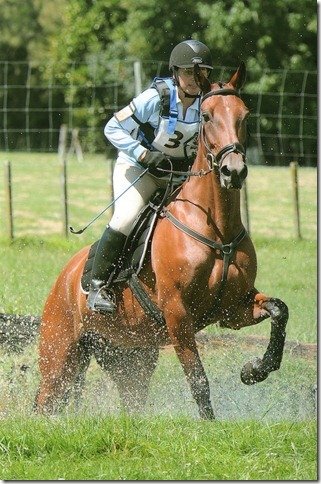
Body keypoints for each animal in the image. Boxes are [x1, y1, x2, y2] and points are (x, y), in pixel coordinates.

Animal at [34, 62, 288, 420]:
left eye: (245, 114)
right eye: (207, 116)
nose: (233, 171)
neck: (216, 229)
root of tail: (65, 277)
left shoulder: (233, 309)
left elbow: (279, 310)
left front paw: (254, 370)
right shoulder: (177, 313)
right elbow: (198, 379)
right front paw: (210, 426)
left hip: (130, 357)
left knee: (132, 399)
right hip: (59, 356)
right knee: (46, 401)